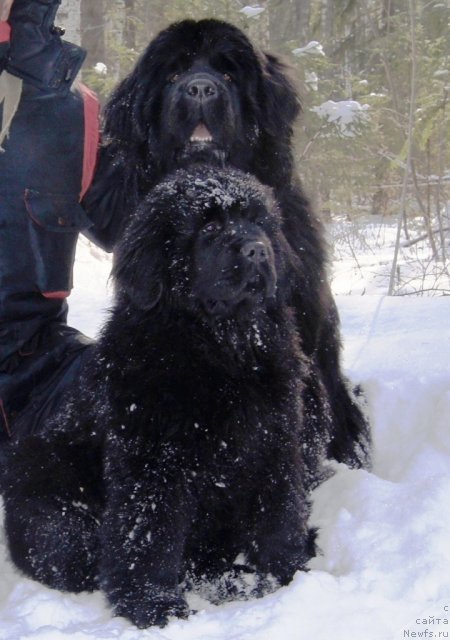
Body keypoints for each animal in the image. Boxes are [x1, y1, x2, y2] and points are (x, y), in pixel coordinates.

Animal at [0, 168, 326, 628]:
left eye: (258, 222)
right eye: (208, 228)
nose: (258, 250)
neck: (222, 347)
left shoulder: (273, 440)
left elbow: (279, 512)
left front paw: (289, 572)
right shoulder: (154, 459)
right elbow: (150, 536)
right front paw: (155, 606)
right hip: (48, 490)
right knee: (75, 553)